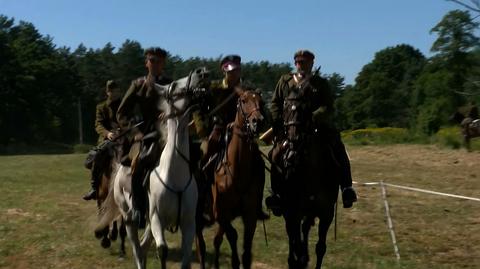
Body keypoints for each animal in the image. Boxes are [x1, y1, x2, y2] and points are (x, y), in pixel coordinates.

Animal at [96, 67, 209, 269]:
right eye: (174, 86)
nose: (201, 71)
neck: (174, 174)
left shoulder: (188, 223)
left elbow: (186, 258)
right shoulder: (157, 219)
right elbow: (162, 250)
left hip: (148, 223)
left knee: (143, 247)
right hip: (130, 219)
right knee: (137, 248)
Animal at [197, 87, 268, 266]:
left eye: (261, 102)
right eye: (243, 100)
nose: (258, 121)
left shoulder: (250, 215)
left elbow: (246, 251)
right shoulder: (221, 213)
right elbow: (233, 235)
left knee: (215, 240)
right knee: (200, 245)